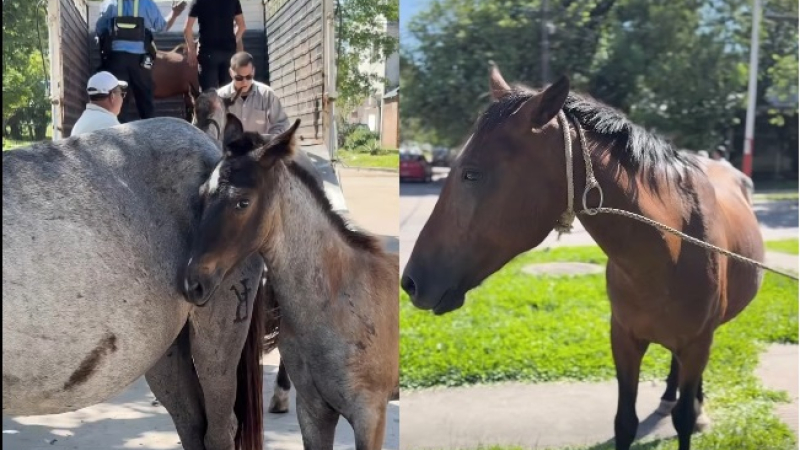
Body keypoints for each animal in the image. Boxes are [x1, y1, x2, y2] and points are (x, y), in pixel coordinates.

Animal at [400, 65, 764, 450]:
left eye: (472, 173)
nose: (410, 282)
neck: (670, 255)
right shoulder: (624, 340)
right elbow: (625, 422)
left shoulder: (697, 344)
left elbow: (683, 419)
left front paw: (693, 411)